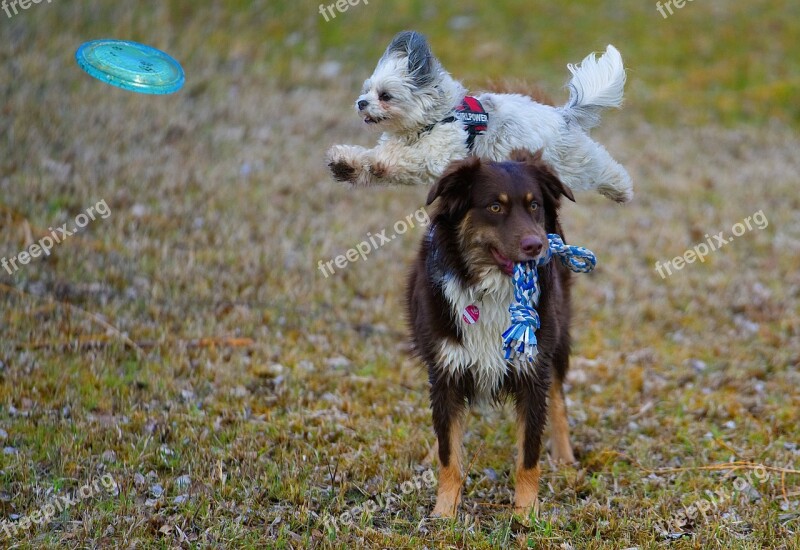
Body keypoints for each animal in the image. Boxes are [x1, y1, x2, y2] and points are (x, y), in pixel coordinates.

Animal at [324, 30, 632, 203]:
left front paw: (381, 162)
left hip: (574, 163)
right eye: (366, 90)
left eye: (385, 96)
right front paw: (346, 163)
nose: (361, 103)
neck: (433, 121)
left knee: (605, 168)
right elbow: (369, 158)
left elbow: (402, 159)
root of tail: (562, 115)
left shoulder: (438, 155)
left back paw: (622, 191)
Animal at [406, 150, 576, 516]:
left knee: (558, 397)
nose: (536, 246)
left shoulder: (533, 369)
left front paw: (527, 512)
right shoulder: (446, 369)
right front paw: (444, 511)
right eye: (495, 207)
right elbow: (449, 452)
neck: (492, 289)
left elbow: (529, 454)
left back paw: (565, 456)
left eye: (534, 205)